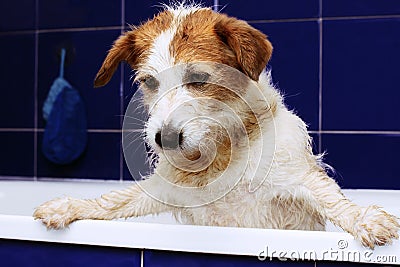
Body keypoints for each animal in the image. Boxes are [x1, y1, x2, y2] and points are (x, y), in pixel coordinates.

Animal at [32, 2, 398, 249]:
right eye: (149, 82)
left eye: (198, 77)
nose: (164, 138)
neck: (221, 150)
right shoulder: (165, 190)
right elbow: (113, 201)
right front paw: (69, 206)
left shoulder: (296, 178)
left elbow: (332, 199)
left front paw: (365, 219)